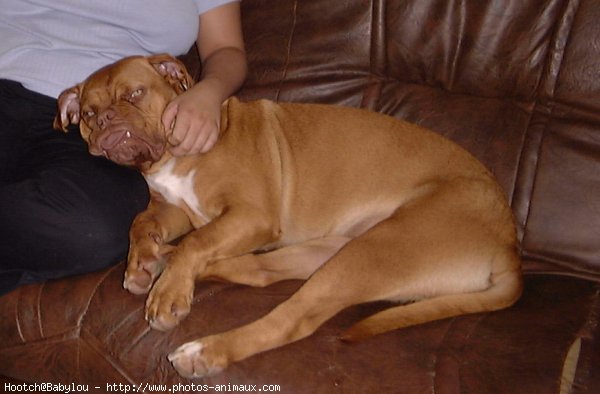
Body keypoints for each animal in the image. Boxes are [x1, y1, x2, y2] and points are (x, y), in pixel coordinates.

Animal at [54, 53, 520, 378]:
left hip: (373, 251)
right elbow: (143, 223)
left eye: (134, 94)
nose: (106, 120)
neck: (174, 155)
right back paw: (163, 263)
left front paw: (169, 295)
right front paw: (142, 262)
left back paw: (203, 346)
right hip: (328, 251)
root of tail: (510, 249)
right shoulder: (177, 211)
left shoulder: (250, 215)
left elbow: (198, 242)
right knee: (259, 272)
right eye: (89, 114)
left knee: (291, 320)